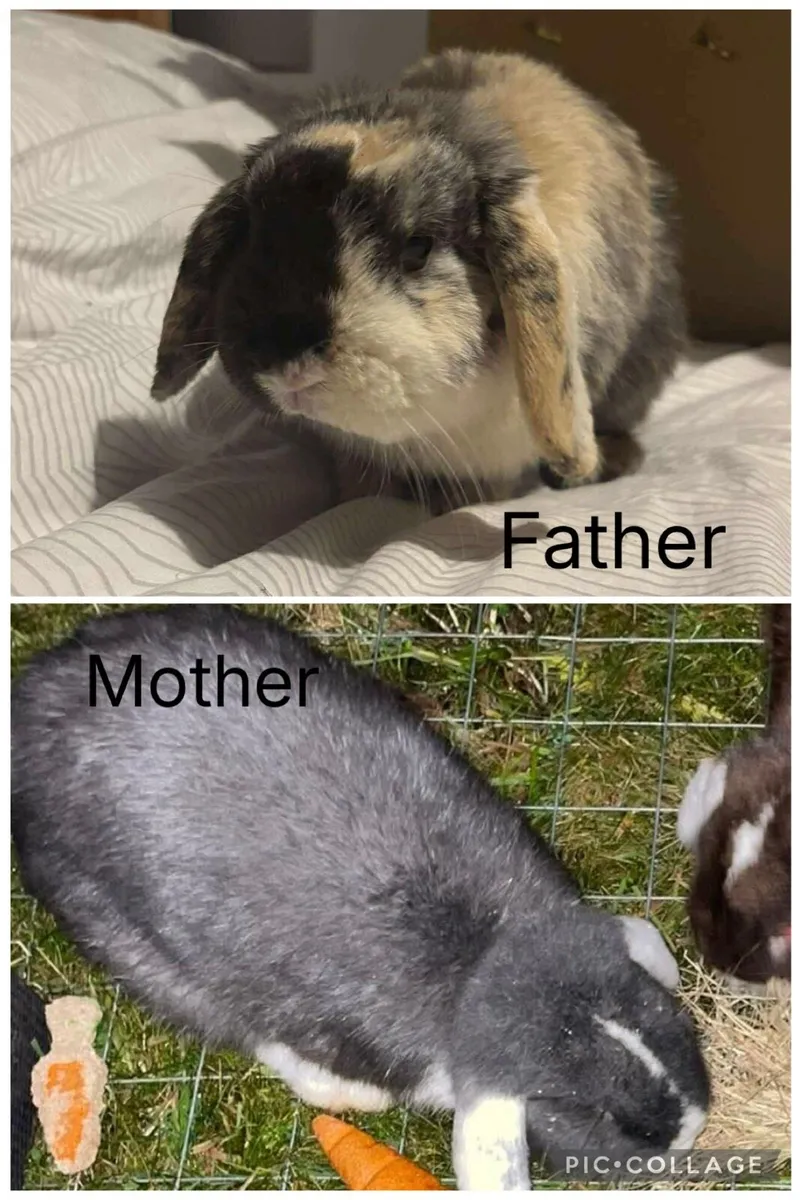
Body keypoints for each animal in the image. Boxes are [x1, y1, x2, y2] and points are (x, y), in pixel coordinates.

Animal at [12, 606, 708, 1189]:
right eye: (595, 1115)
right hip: (116, 932)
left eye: (673, 1020)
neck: (485, 956)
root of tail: (34, 689)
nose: (689, 1134)